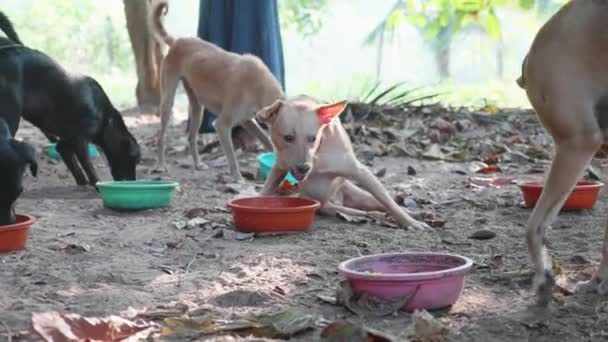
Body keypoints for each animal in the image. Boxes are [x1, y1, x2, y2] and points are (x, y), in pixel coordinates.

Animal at [0, 12, 140, 186]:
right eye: (134, 159)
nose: (133, 182)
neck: (105, 115)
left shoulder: (67, 141)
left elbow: (72, 163)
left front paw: (82, 181)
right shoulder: (80, 141)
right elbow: (89, 166)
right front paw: (96, 184)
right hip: (11, 117)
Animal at [148, 0, 282, 182]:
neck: (260, 85)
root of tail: (177, 41)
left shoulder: (247, 120)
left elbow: (265, 139)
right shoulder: (222, 125)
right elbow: (231, 155)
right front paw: (237, 176)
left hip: (197, 108)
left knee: (191, 137)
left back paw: (198, 163)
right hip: (168, 102)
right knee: (161, 137)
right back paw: (161, 165)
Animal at [255, 95, 428, 230]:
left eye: (313, 138)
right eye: (288, 138)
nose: (304, 167)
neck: (317, 155)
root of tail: (332, 201)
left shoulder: (359, 172)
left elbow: (389, 203)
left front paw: (410, 222)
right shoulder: (280, 167)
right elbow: (266, 190)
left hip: (361, 196)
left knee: (383, 204)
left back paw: (415, 213)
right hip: (336, 209)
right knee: (369, 213)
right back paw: (381, 216)